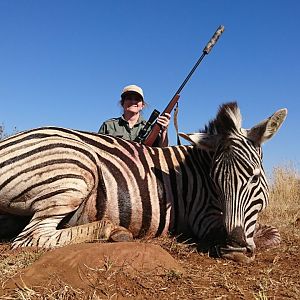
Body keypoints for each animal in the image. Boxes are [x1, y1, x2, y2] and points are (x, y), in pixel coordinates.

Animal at [0, 101, 286, 260]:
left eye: (255, 177)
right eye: (215, 181)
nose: (234, 247)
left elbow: (273, 233)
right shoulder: (203, 218)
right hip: (76, 170)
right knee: (30, 238)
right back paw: (112, 230)